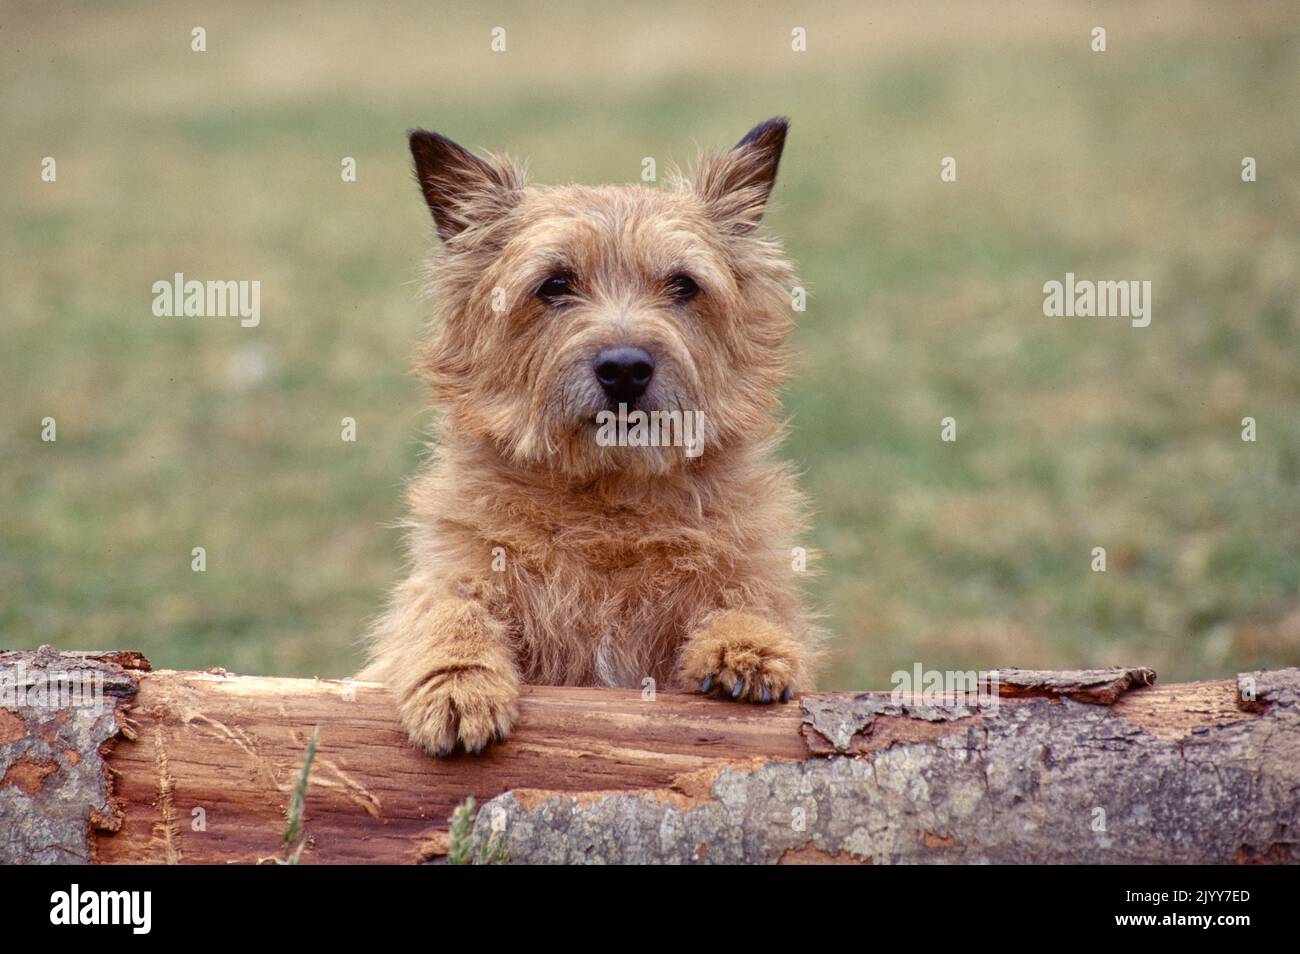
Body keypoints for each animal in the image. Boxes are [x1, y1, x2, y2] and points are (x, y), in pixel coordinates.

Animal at [361, 119, 816, 759]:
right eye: (554, 284)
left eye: (683, 285)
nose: (625, 369)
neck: (607, 498)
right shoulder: (452, 569)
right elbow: (445, 607)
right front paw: (458, 684)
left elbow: (746, 596)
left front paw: (748, 645)